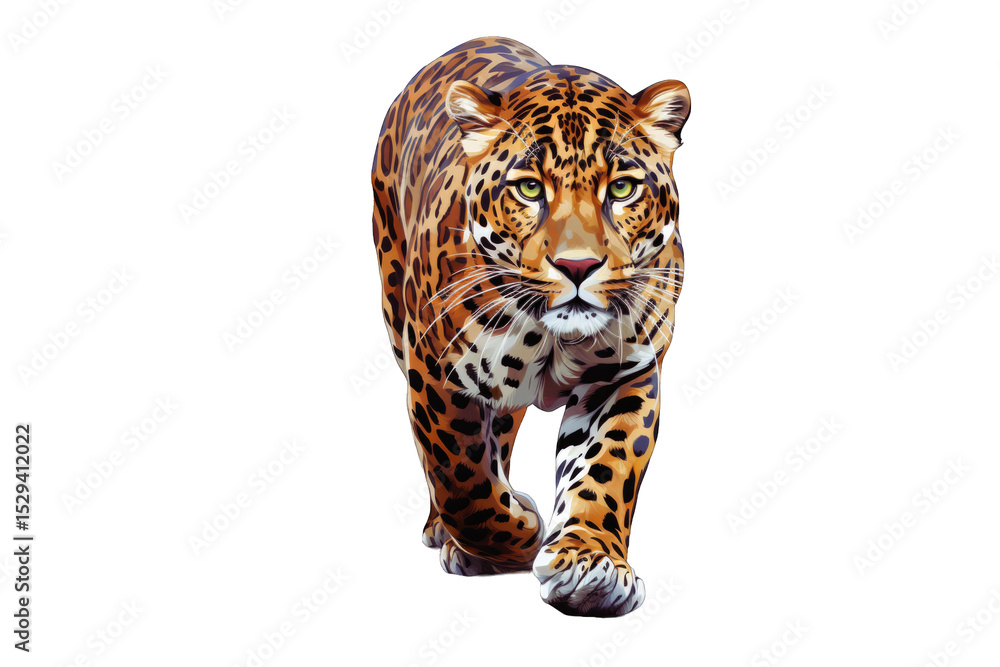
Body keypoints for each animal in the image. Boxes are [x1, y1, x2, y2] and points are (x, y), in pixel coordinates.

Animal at [371, 36, 690, 617]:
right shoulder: (436, 373)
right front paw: (518, 534)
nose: (578, 266)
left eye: (623, 189)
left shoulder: (626, 374)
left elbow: (607, 469)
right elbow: (462, 479)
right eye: (527, 189)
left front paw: (590, 565)